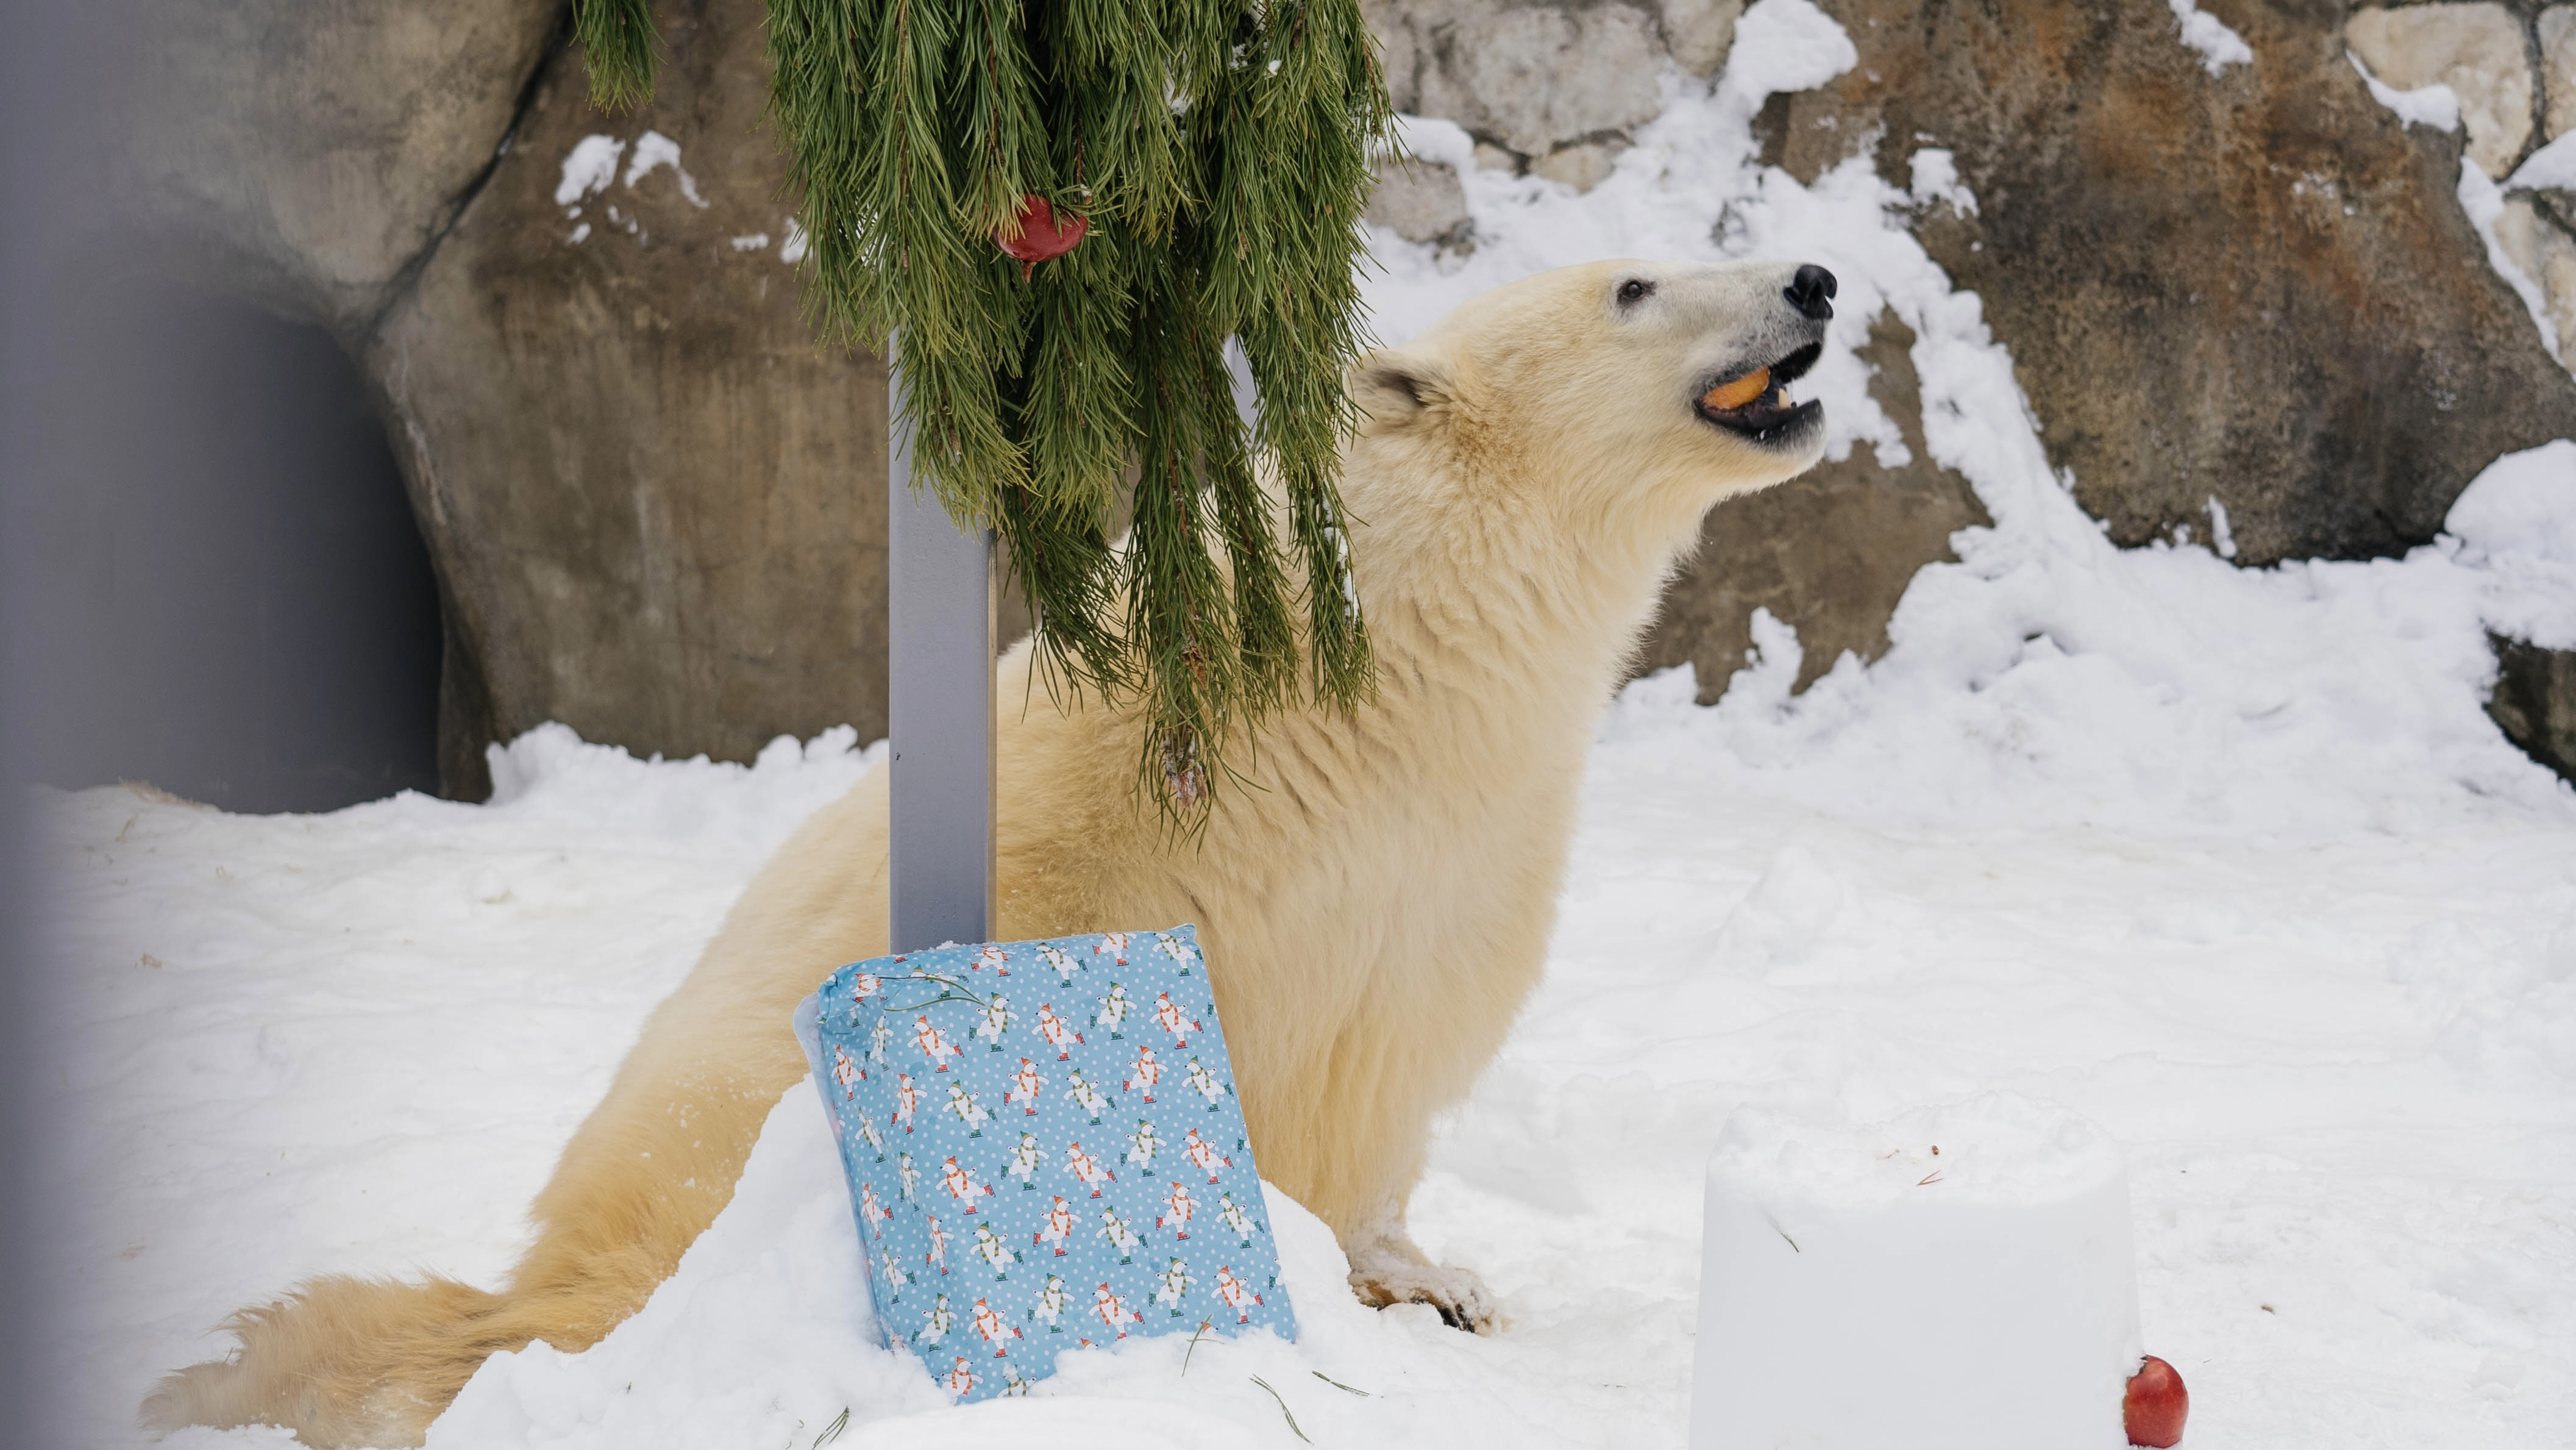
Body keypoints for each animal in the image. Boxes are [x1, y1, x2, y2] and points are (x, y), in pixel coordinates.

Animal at [151, 255, 1834, 1442]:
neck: (1404, 657)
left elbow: (1399, 1037)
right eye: (1632, 284)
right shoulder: (1138, 766)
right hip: (678, 1138)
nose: (1815, 281)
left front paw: (1431, 1278)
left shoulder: (1470, 837)